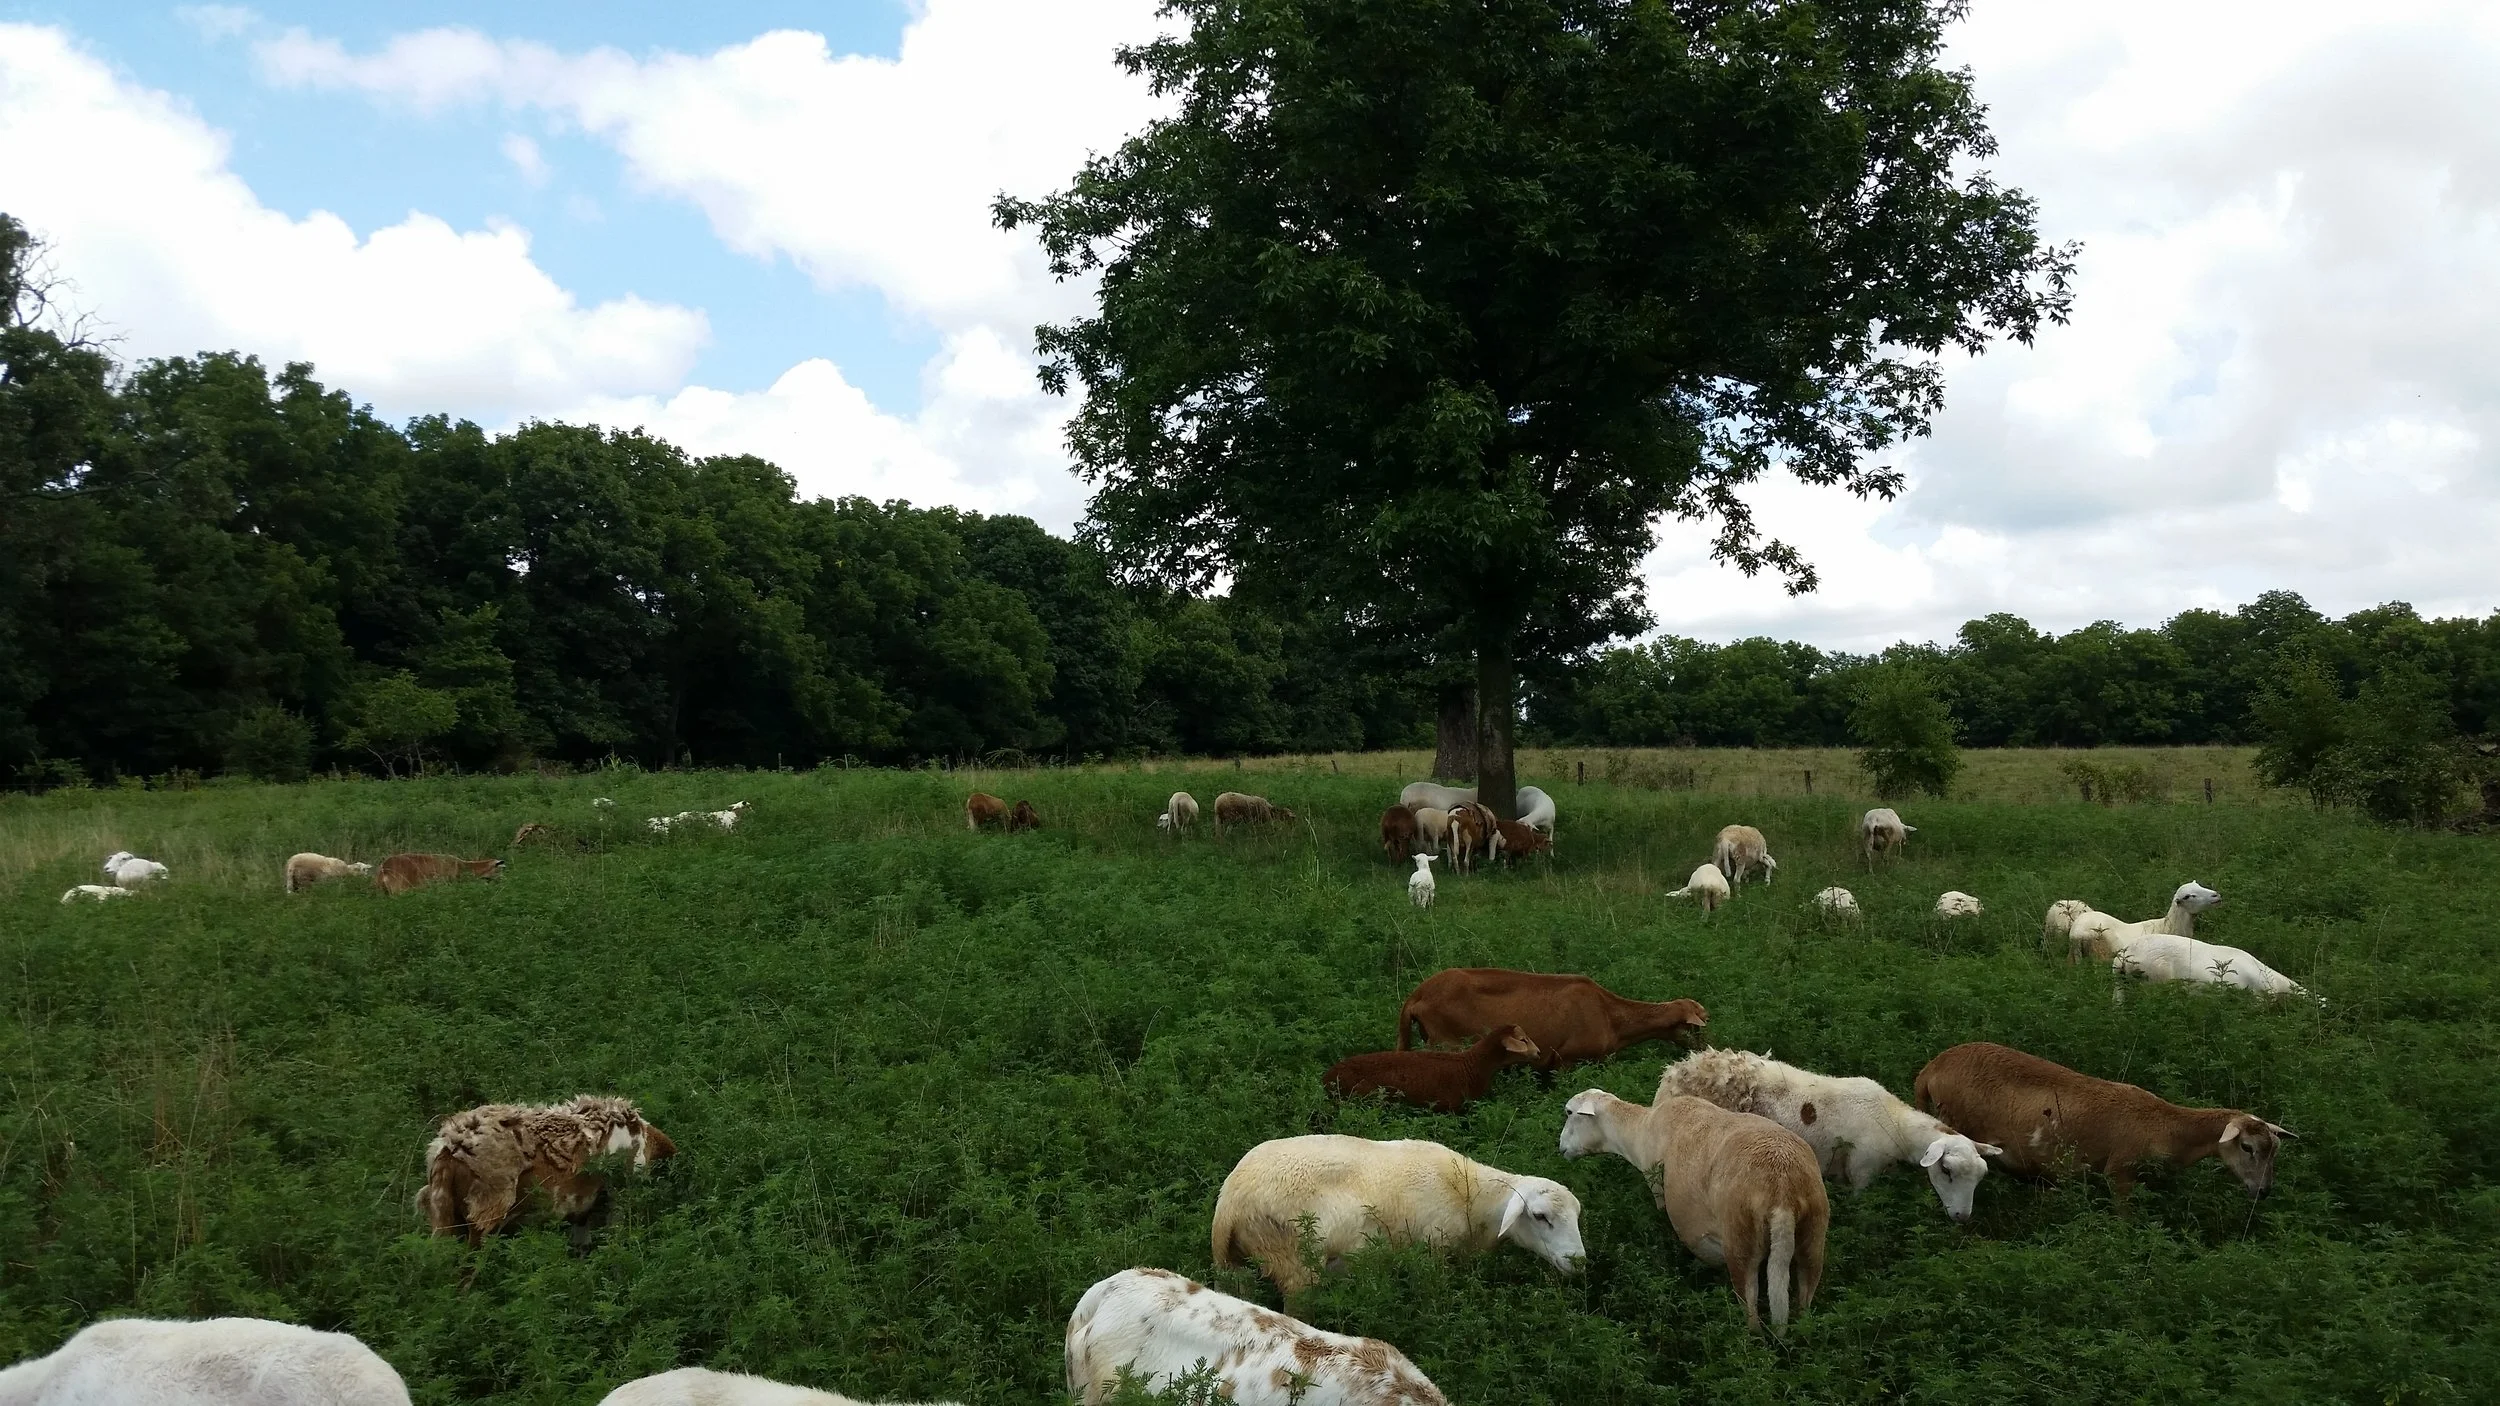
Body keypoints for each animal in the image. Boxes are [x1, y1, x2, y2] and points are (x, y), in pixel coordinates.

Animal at [1210, 1134, 1585, 1296]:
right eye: (1540, 1216)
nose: (1579, 1262)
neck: (1468, 1194)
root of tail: (1228, 1204)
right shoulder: (1434, 1252)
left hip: (1236, 1268)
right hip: (1294, 1263)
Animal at [1396, 968, 1708, 1071]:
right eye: (1698, 1027)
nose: (1706, 1049)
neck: (1611, 1016)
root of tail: (1416, 996)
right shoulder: (1566, 1060)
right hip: (1446, 1043)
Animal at [1561, 1089, 1829, 1333]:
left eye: (1569, 1112)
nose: (1561, 1148)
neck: (1639, 1130)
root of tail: (1782, 1188)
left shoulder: (1657, 1191)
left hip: (1740, 1241)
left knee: (1751, 1314)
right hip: (1813, 1237)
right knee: (1804, 1299)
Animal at [1657, 1049, 2003, 1222]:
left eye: (1981, 1177)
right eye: (1946, 1170)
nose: (1962, 1217)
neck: (1895, 1123)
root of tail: (1675, 1073)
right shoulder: (1862, 1172)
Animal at [1915, 1041, 2296, 1199]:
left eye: (2275, 1151)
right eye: (2247, 1147)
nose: (2264, 1192)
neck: (2167, 1127)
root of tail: (1932, 1068)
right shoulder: (2120, 1174)